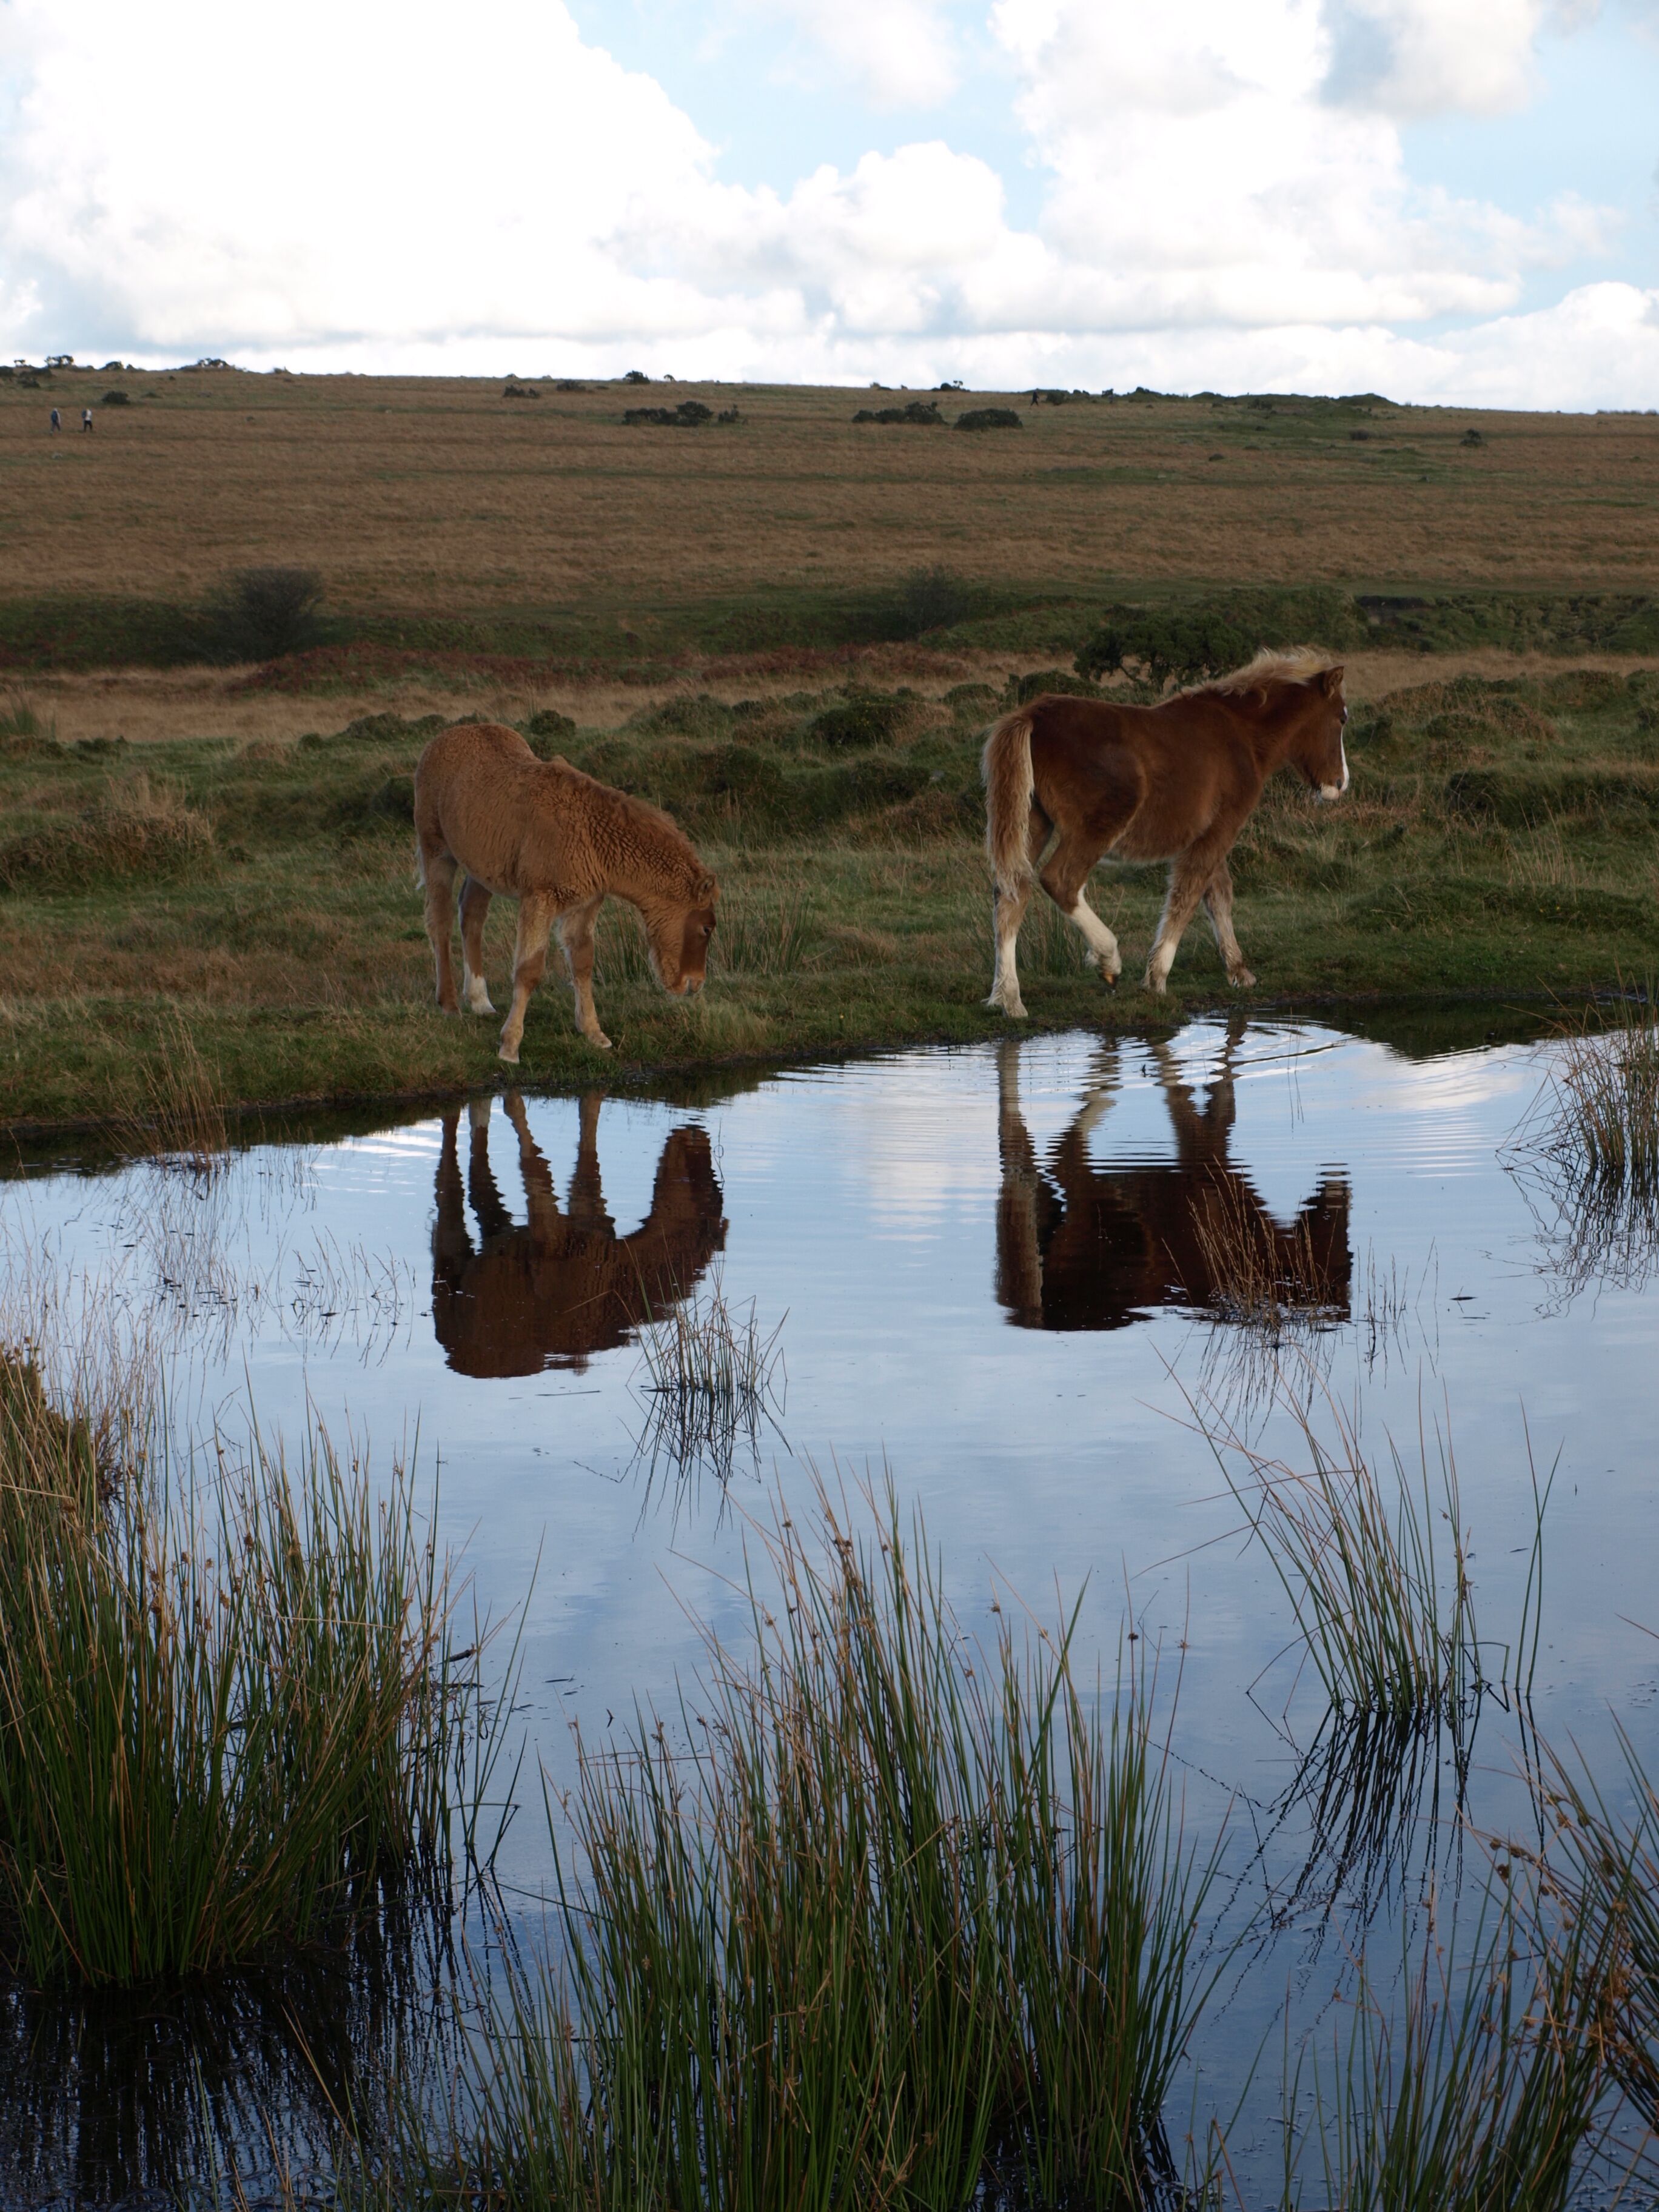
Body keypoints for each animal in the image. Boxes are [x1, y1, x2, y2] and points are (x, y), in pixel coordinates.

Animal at [414, 722, 718, 1061]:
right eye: (706, 927)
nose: (694, 984)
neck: (589, 834)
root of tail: (443, 738)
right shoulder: (539, 900)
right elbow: (529, 970)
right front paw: (510, 1046)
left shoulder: (585, 904)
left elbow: (582, 963)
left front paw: (594, 1032)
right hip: (437, 851)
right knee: (440, 921)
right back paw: (450, 1004)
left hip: (481, 867)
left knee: (472, 916)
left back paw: (480, 1001)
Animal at [431, 1091, 727, 1376]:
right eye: (708, 1191)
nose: (698, 1132)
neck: (622, 1268)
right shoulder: (552, 1235)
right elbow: (537, 1162)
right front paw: (513, 1095)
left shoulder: (587, 1219)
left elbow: (587, 1135)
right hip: (451, 1259)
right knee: (449, 1178)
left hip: (491, 1233)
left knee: (478, 1165)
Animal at [981, 647, 1349, 1013]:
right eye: (1342, 718)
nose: (1340, 784)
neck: (1242, 735)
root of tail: (1034, 716)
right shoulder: (1222, 827)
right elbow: (1187, 895)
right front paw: (1156, 979)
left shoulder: (1208, 833)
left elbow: (1218, 895)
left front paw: (1239, 972)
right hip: (1098, 824)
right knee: (1060, 881)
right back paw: (1108, 960)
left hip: (1032, 821)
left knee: (1011, 891)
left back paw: (1008, 999)